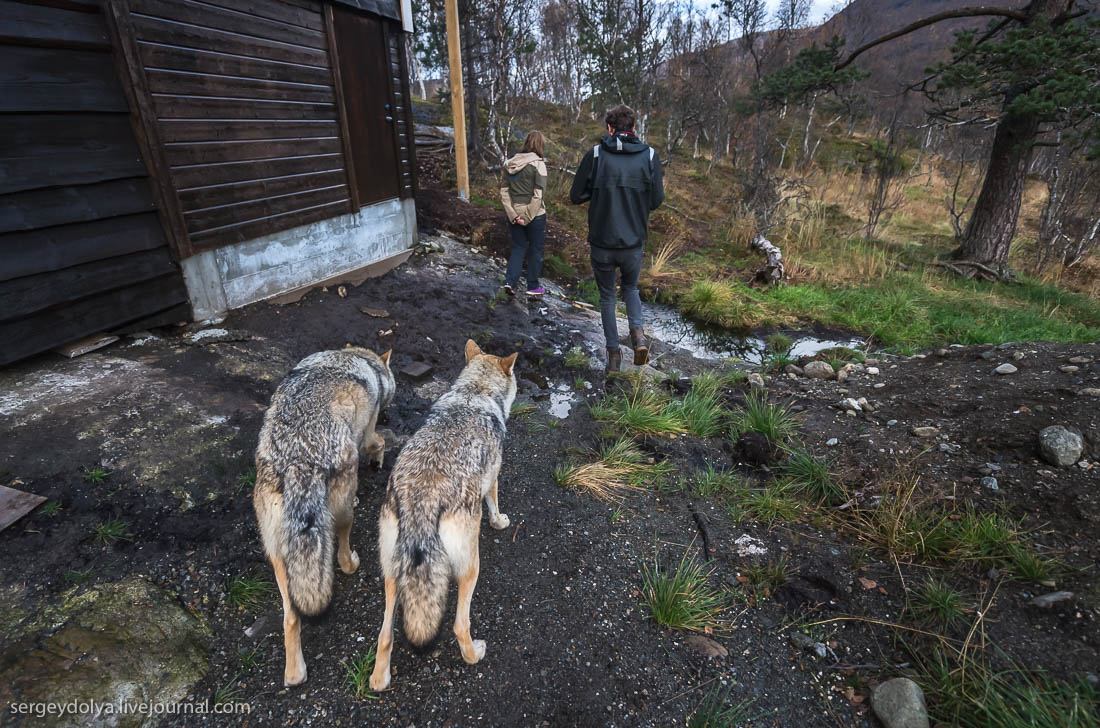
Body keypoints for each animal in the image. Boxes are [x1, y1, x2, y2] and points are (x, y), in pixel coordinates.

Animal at [251, 347, 396, 690]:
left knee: (291, 617)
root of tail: (298, 461)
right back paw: (352, 562)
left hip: (277, 552)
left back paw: (295, 673)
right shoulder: (366, 434)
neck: (360, 360)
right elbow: (380, 443)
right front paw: (377, 463)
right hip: (341, 516)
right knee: (341, 556)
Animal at [371, 338, 517, 695]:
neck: (475, 392)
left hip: (392, 574)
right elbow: (494, 504)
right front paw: (500, 522)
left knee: (385, 635)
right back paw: (475, 653)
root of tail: (422, 501)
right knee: (459, 626)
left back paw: (380, 679)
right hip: (471, 569)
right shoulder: (493, 477)